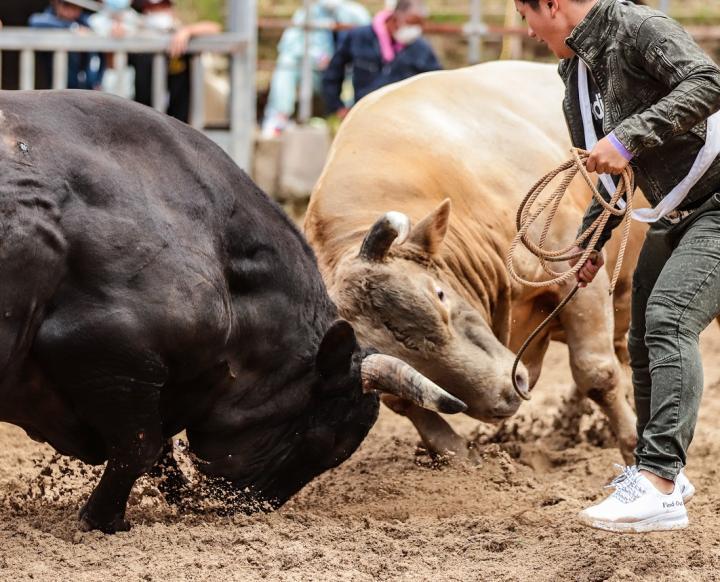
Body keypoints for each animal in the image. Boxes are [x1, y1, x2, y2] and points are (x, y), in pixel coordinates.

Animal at [0, 91, 464, 532]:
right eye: (328, 442)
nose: (249, 508)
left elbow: (157, 451)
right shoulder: (110, 359)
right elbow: (140, 447)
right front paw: (104, 519)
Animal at [306, 60, 644, 466]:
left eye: (439, 294)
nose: (506, 394)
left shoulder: (573, 265)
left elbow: (596, 372)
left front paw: (633, 447)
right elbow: (417, 413)